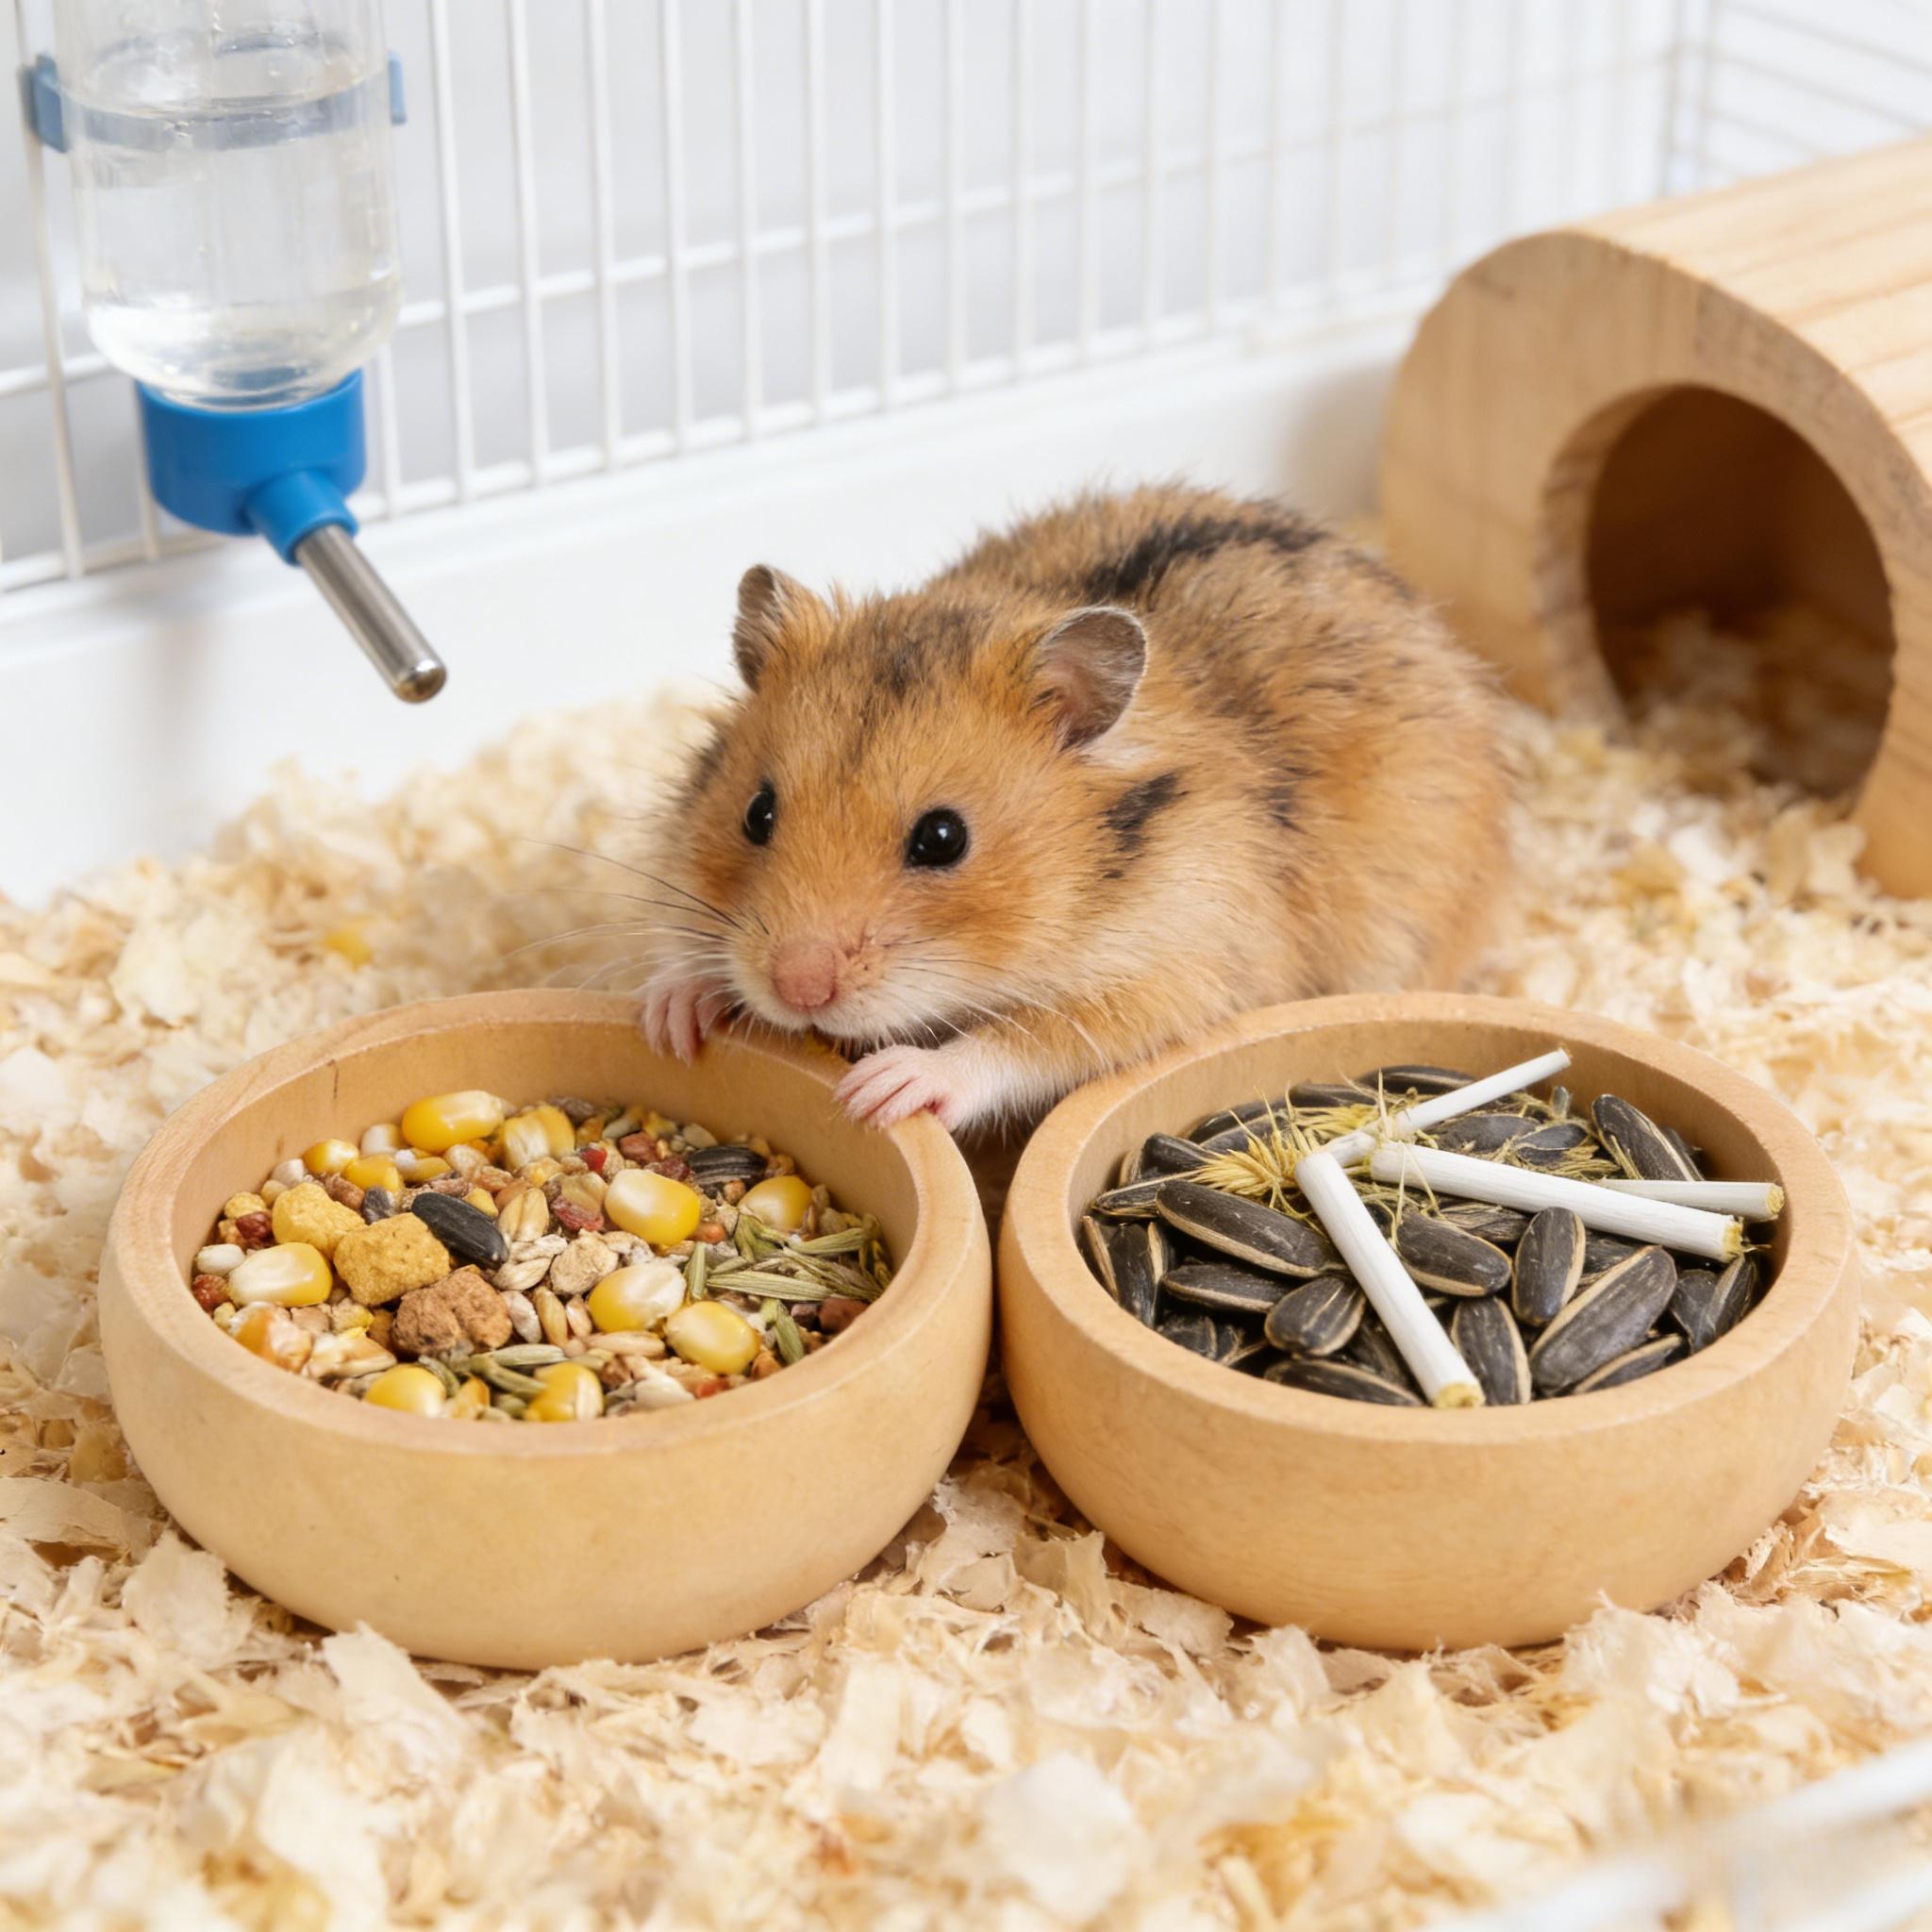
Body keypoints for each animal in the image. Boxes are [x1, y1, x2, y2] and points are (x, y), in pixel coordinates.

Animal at [635, 484, 1514, 1133]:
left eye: (942, 838)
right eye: (757, 813)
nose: (795, 989)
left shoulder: (1180, 972)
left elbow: (1026, 1042)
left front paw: (881, 1089)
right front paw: (672, 1019)